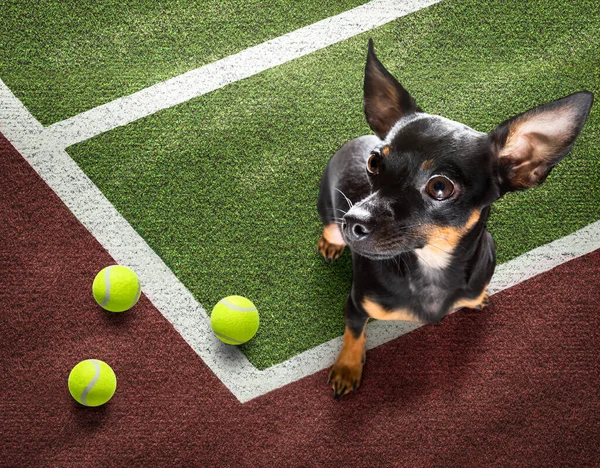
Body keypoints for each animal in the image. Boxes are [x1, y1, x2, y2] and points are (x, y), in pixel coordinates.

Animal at [316, 40, 592, 398]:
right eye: (374, 163)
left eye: (440, 187)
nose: (353, 220)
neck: (430, 265)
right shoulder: (355, 305)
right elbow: (353, 333)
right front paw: (348, 367)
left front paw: (477, 299)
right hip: (329, 214)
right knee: (328, 230)